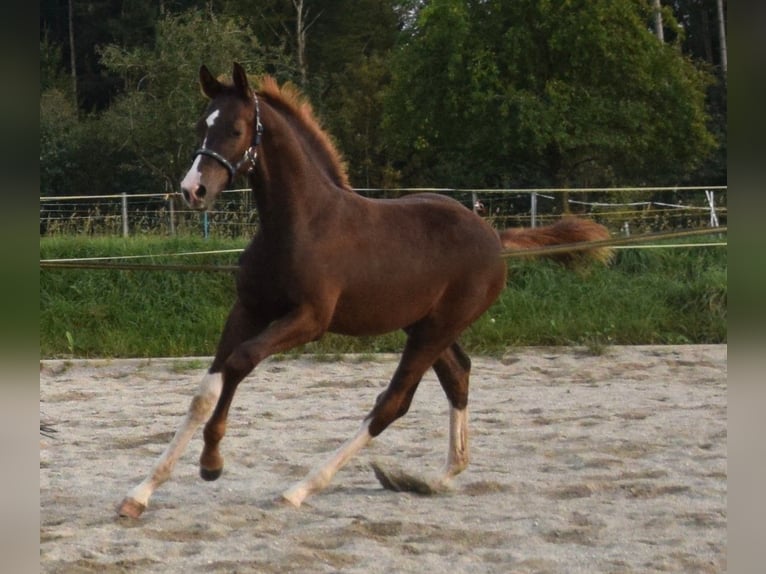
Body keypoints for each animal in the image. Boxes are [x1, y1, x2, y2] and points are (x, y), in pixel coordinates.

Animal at [118, 63, 608, 518]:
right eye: (201, 125)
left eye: (236, 129)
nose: (193, 190)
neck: (301, 223)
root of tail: (494, 238)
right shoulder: (248, 308)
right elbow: (207, 389)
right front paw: (141, 493)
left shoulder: (310, 320)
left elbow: (240, 363)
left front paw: (211, 462)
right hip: (425, 326)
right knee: (458, 374)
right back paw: (434, 478)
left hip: (436, 328)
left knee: (393, 402)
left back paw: (302, 488)